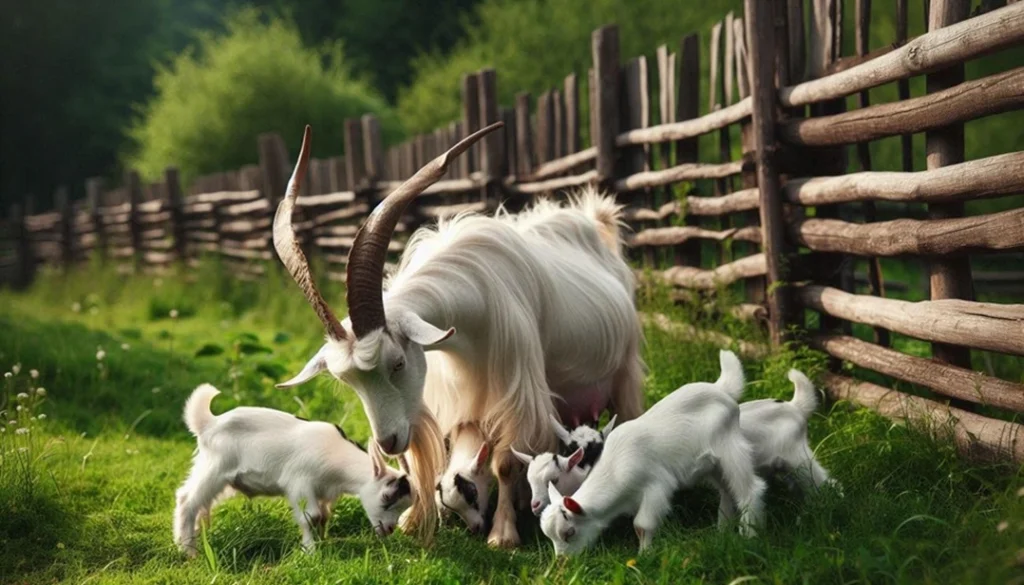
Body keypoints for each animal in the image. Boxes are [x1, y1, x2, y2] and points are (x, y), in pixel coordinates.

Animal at [173, 384, 412, 556]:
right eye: (387, 497)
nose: (389, 529)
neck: (338, 461)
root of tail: (208, 424)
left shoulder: (323, 492)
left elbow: (323, 516)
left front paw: (322, 541)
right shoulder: (300, 483)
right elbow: (311, 517)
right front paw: (310, 552)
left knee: (201, 506)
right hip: (214, 469)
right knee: (187, 500)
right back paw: (188, 551)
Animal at [271, 124, 645, 546]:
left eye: (397, 363)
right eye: (347, 380)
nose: (387, 441)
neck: (474, 312)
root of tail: (598, 224)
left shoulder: (517, 393)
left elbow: (504, 461)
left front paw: (503, 535)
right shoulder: (451, 397)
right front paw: (413, 520)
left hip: (625, 372)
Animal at [540, 351, 766, 556]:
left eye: (569, 532)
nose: (562, 562)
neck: (615, 469)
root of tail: (721, 388)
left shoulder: (656, 486)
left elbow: (642, 525)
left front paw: (644, 555)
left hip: (731, 447)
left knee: (750, 489)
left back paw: (749, 536)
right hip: (714, 465)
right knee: (727, 490)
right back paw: (722, 532)